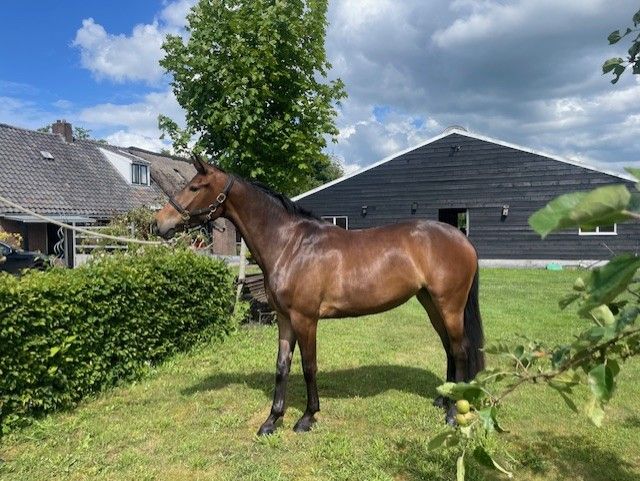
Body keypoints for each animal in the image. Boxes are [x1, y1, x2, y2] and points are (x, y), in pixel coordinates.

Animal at [153, 156, 485, 435]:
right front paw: (271, 420)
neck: (291, 244)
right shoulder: (285, 319)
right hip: (430, 303)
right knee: (448, 347)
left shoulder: (305, 318)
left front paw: (307, 417)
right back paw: (443, 400)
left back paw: (453, 414)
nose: (158, 223)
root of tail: (462, 239)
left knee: (460, 350)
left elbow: (309, 366)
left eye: (194, 187)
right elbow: (282, 366)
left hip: (449, 305)